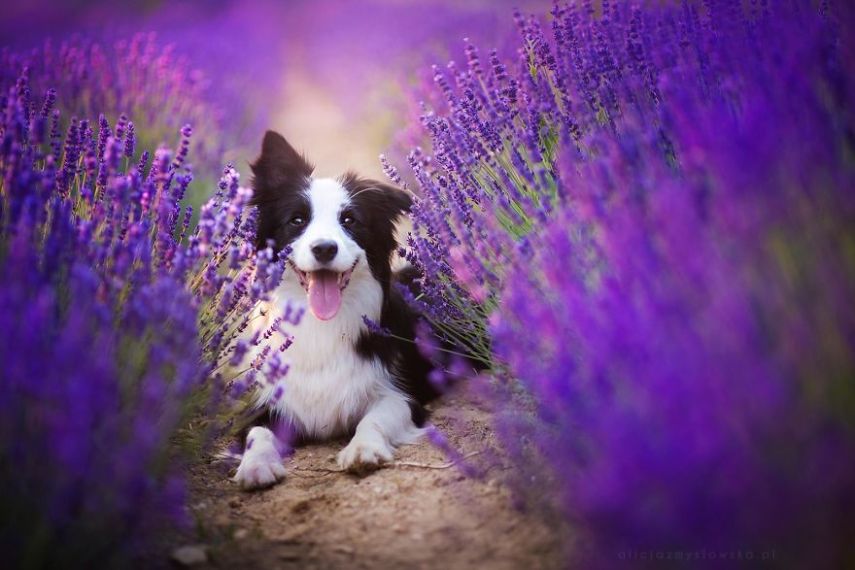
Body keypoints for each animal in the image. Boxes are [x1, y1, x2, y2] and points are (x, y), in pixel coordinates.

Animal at [232, 130, 442, 488]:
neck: (322, 325)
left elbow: (375, 418)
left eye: (349, 220)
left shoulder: (401, 393)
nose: (324, 249)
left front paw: (363, 449)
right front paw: (256, 465)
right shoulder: (267, 404)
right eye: (297, 220)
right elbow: (256, 434)